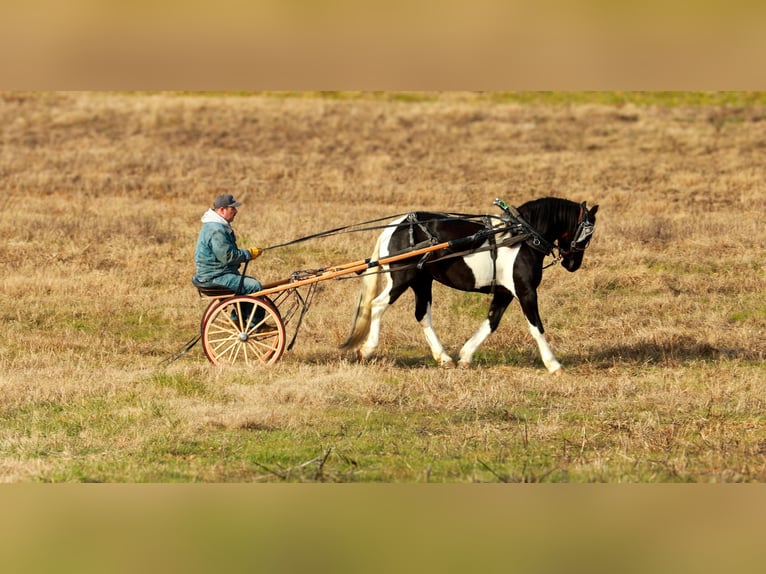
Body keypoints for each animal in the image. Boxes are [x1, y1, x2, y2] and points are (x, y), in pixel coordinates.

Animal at [340, 197, 599, 373]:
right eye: (587, 233)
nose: (573, 264)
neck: (522, 237)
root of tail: (393, 228)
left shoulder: (504, 292)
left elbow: (492, 322)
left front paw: (465, 355)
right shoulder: (525, 291)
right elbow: (537, 327)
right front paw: (553, 364)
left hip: (421, 281)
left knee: (422, 314)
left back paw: (443, 358)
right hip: (402, 277)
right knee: (378, 305)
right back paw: (368, 349)